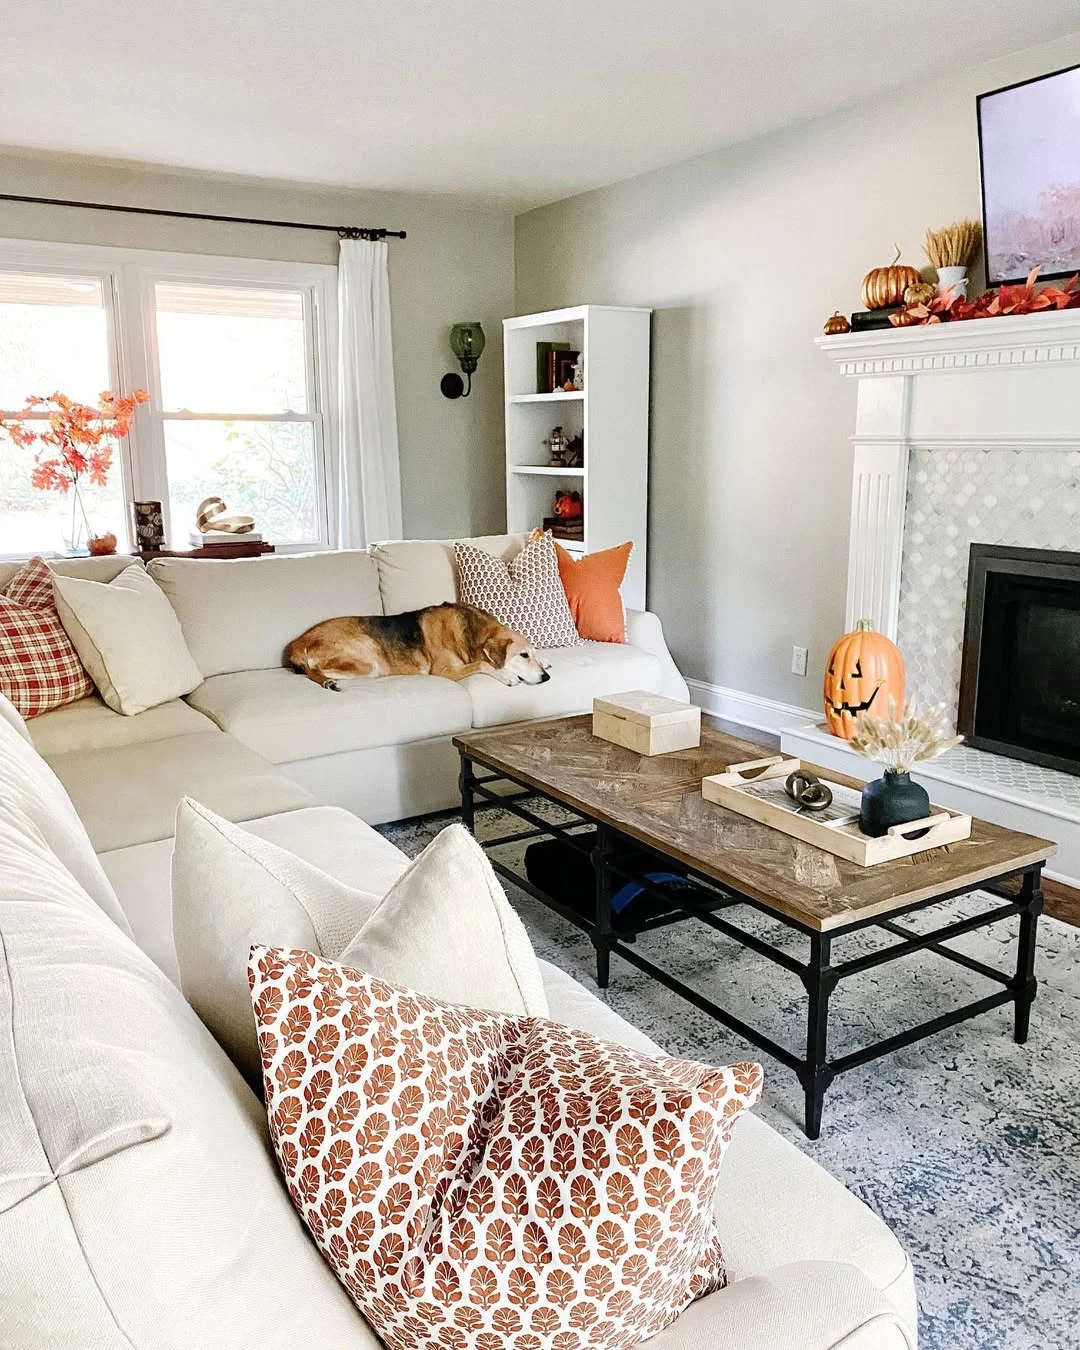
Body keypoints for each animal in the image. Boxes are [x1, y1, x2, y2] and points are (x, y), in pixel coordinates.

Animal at [282, 602, 553, 691]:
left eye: (533, 653)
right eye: (523, 655)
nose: (546, 678)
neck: (470, 634)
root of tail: (298, 641)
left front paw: (547, 662)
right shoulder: (446, 671)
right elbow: (483, 664)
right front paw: (506, 675)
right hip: (369, 659)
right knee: (313, 671)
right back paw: (327, 682)